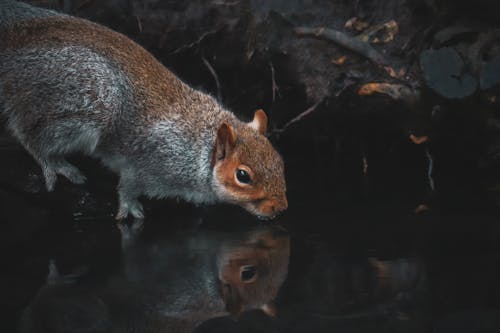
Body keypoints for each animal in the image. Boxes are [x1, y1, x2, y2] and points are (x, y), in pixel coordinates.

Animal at [0, 0, 288, 219]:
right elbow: (129, 182)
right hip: (82, 99)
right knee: (27, 131)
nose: (281, 207)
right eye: (243, 176)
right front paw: (129, 208)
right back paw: (52, 163)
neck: (201, 148)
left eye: (280, 160)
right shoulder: (152, 159)